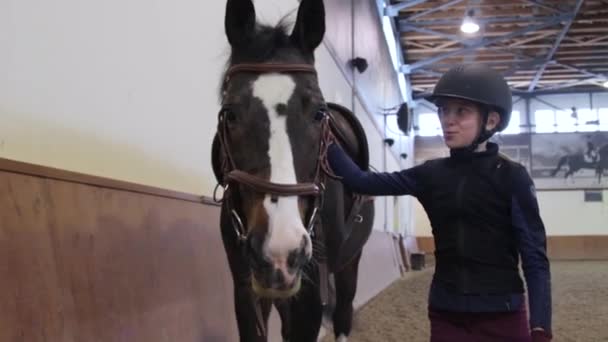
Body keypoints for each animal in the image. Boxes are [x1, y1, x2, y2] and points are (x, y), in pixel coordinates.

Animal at [214, 1, 376, 340]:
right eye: (230, 114)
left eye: (318, 113)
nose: (281, 248)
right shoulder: (247, 289)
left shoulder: (309, 298)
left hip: (349, 264)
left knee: (343, 313)